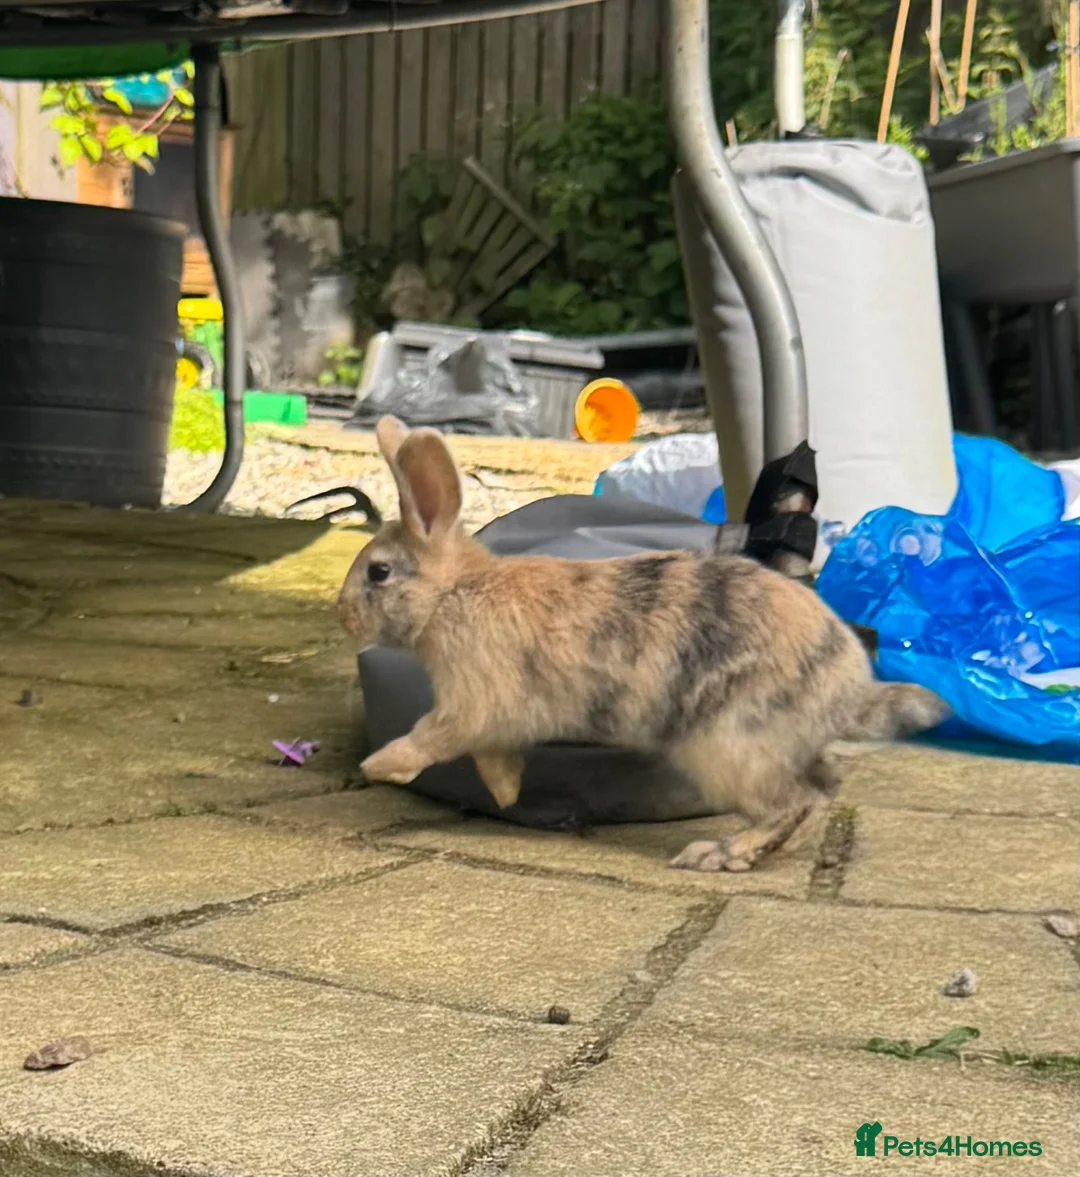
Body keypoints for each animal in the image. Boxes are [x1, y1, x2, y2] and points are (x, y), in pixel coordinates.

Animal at [337, 416, 950, 873]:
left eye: (380, 573)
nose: (343, 617)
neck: (453, 594)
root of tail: (846, 690)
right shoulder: (491, 724)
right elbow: (493, 760)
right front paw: (507, 795)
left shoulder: (470, 703)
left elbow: (430, 737)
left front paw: (380, 766)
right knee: (821, 792)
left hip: (726, 747)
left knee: (789, 804)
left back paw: (718, 854)